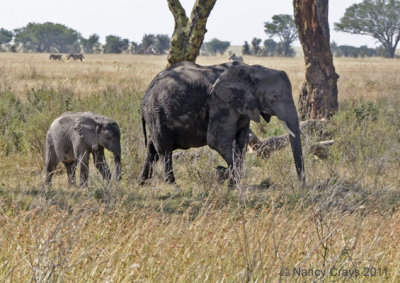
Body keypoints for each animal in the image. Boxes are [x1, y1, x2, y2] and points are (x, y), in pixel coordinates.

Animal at [139, 62, 304, 186]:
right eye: (275, 96)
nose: (302, 186)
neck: (252, 70)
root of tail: (148, 89)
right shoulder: (220, 102)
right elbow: (217, 141)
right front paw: (229, 178)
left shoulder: (244, 106)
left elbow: (241, 143)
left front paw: (230, 180)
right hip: (156, 111)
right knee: (164, 148)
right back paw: (173, 185)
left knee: (152, 147)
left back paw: (142, 182)